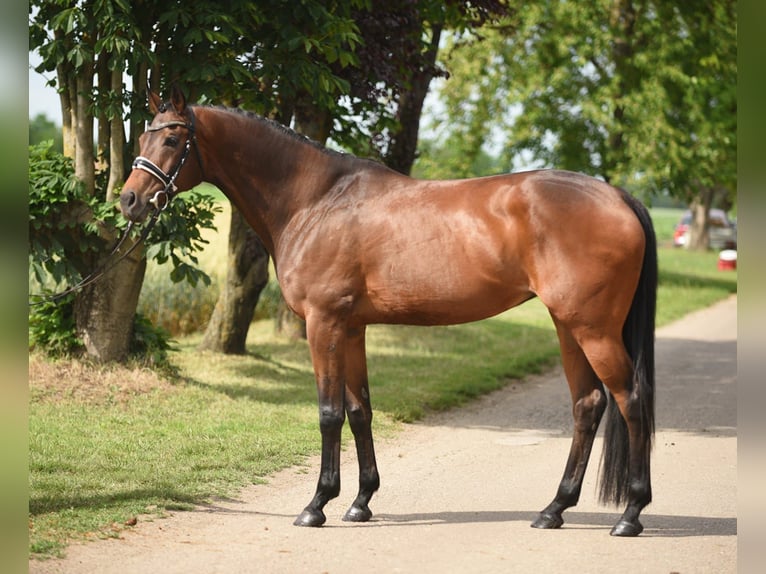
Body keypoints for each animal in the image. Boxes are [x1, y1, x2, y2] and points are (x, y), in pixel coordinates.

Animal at [123, 86, 656, 540]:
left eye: (172, 137)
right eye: (144, 135)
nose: (129, 200)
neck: (315, 201)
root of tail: (617, 196)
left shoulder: (324, 324)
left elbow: (329, 412)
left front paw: (317, 504)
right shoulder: (352, 327)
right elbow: (360, 411)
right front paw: (360, 502)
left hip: (593, 329)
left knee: (630, 400)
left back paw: (630, 514)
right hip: (568, 326)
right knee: (588, 404)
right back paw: (554, 509)